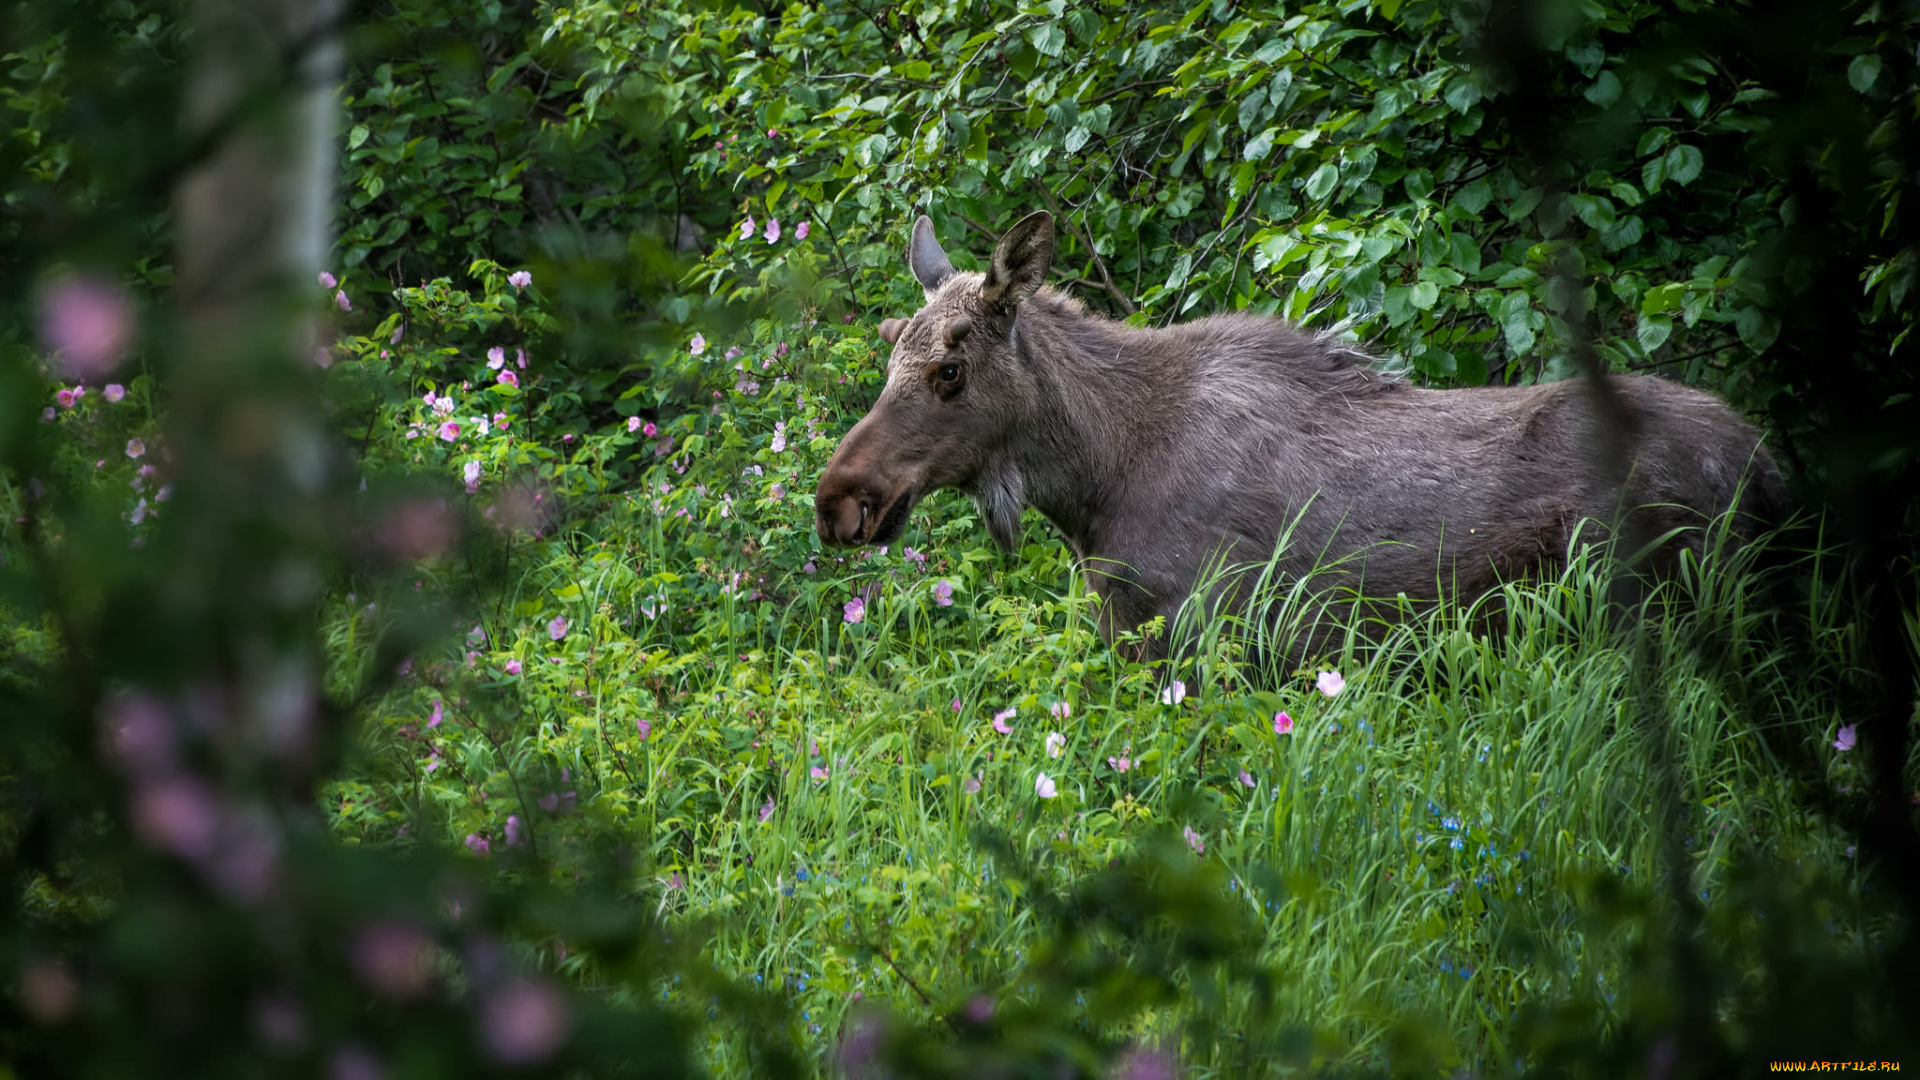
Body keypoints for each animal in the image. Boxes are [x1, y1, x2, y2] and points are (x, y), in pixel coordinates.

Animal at [814, 210, 1781, 661]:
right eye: (890, 345)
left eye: (950, 368)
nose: (839, 500)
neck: (1090, 481)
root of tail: (1769, 464)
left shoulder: (1218, 637)